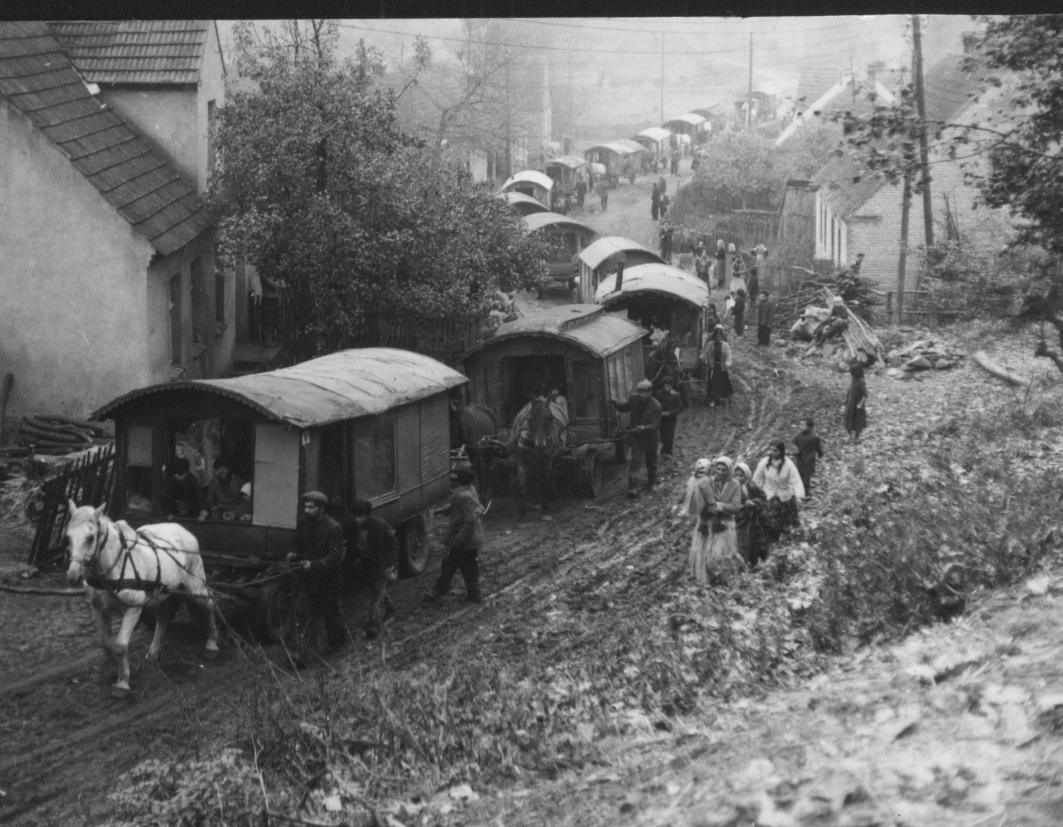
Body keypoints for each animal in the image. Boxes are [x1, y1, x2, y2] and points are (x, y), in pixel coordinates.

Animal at [65, 499, 218, 693]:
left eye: (90, 538)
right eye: (68, 537)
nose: (73, 576)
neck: (114, 567)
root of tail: (183, 530)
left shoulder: (133, 608)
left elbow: (120, 646)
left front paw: (123, 682)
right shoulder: (99, 609)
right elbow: (107, 644)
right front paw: (119, 669)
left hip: (195, 586)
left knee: (209, 605)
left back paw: (212, 644)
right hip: (161, 594)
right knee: (163, 618)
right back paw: (154, 651)